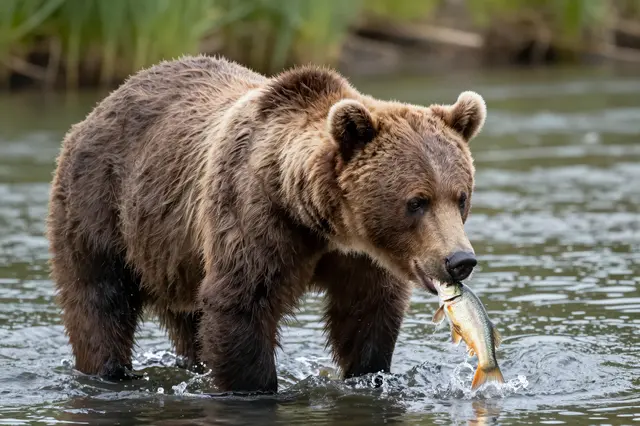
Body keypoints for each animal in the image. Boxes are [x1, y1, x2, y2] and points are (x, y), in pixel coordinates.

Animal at [46, 54, 486, 394]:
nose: (459, 260)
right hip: (100, 208)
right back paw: (109, 372)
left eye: (460, 196)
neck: (320, 221)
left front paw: (366, 373)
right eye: (416, 201)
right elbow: (239, 306)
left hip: (177, 254)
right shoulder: (254, 220)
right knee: (99, 300)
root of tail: (100, 106)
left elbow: (366, 315)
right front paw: (255, 387)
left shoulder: (360, 259)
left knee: (189, 320)